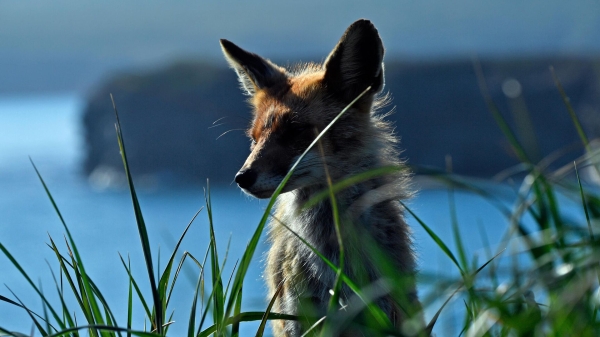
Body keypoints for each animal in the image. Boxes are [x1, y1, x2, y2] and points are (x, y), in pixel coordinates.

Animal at [219, 19, 422, 336]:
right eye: (254, 139)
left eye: (296, 132)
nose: (242, 178)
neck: (333, 262)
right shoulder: (298, 317)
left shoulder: (382, 309)